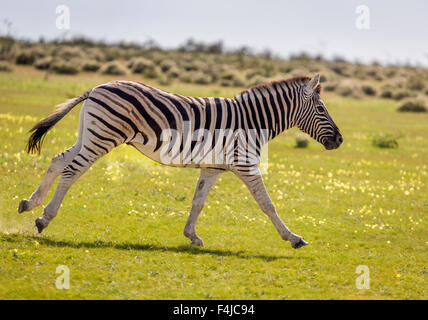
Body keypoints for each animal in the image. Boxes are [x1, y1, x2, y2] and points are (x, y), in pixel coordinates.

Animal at [18, 75, 342, 250]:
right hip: (103, 136)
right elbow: (268, 204)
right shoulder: (245, 164)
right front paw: (294, 237)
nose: (339, 140)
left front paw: (192, 236)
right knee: (72, 170)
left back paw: (30, 203)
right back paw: (44, 217)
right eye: (321, 109)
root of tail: (98, 87)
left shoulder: (212, 167)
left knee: (58, 160)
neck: (253, 121)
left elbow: (198, 202)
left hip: (90, 133)